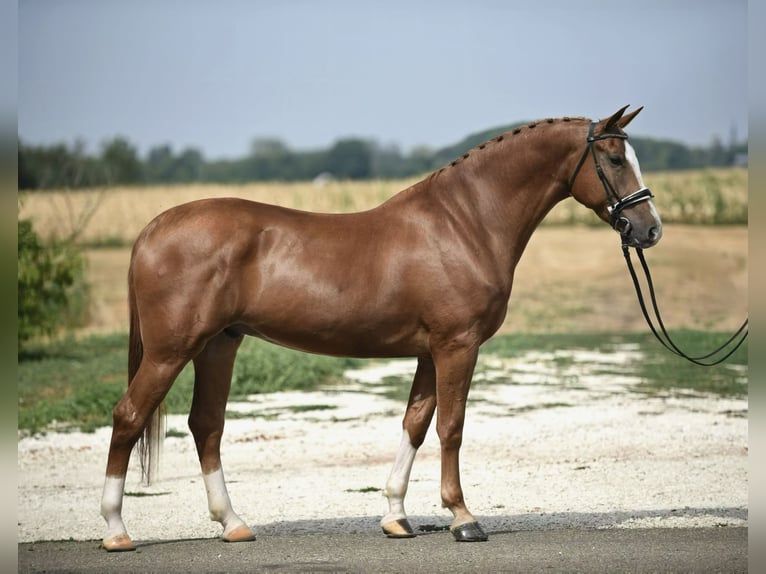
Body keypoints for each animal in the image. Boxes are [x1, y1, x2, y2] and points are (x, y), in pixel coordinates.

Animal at [99, 106, 664, 552]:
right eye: (614, 159)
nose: (649, 229)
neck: (465, 222)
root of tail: (152, 228)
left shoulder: (429, 352)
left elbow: (415, 423)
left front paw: (396, 516)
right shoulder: (457, 346)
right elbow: (452, 427)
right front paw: (463, 519)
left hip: (219, 344)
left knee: (206, 425)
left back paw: (233, 524)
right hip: (171, 351)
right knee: (129, 417)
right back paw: (116, 530)